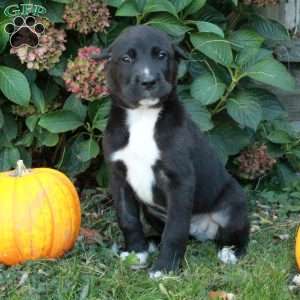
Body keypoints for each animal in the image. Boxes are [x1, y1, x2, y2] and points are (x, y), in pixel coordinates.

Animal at [95, 25, 250, 278]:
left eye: (161, 55)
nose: (148, 81)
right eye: (126, 59)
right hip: (153, 212)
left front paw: (165, 268)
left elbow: (175, 231)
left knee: (238, 233)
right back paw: (151, 241)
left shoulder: (179, 181)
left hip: (232, 206)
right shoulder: (119, 178)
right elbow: (128, 219)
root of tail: (201, 231)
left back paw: (231, 252)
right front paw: (136, 252)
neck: (143, 117)